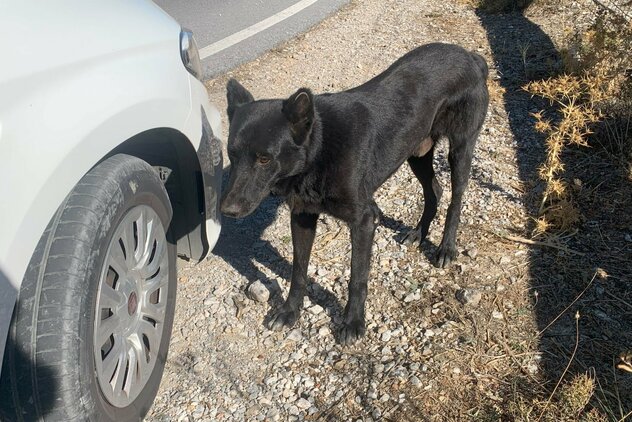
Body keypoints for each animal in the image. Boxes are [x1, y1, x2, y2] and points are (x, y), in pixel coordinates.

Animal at [221, 43, 488, 346]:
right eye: (232, 154)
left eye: (264, 159)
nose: (227, 210)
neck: (319, 149)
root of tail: (470, 56)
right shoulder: (302, 216)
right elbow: (298, 270)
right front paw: (290, 311)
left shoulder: (363, 222)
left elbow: (357, 277)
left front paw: (353, 322)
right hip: (416, 152)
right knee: (435, 190)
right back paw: (418, 233)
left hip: (460, 149)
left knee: (455, 198)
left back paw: (446, 247)